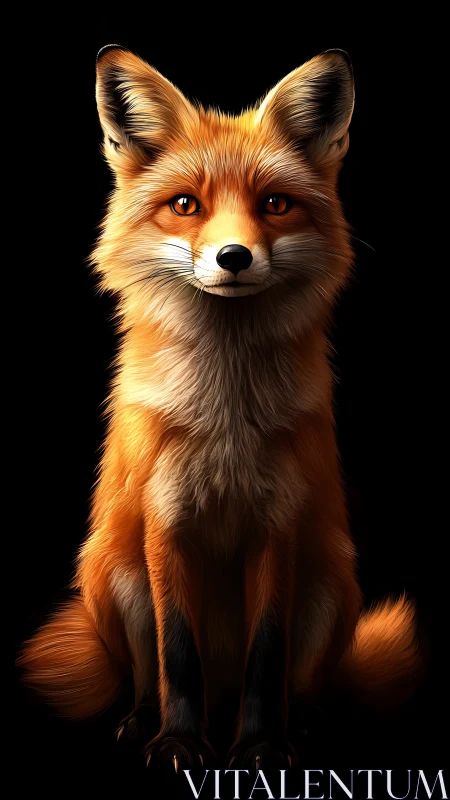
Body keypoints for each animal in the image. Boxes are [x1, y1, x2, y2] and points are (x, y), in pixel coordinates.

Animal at [19, 45, 421, 771]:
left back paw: (302, 723)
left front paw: (261, 746)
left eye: (275, 205)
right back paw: (143, 720)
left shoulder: (278, 526)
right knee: (148, 673)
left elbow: (268, 653)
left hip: (330, 586)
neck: (225, 418)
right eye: (186, 204)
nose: (234, 256)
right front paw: (179, 742)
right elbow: (178, 655)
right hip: (114, 575)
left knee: (297, 682)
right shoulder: (164, 523)